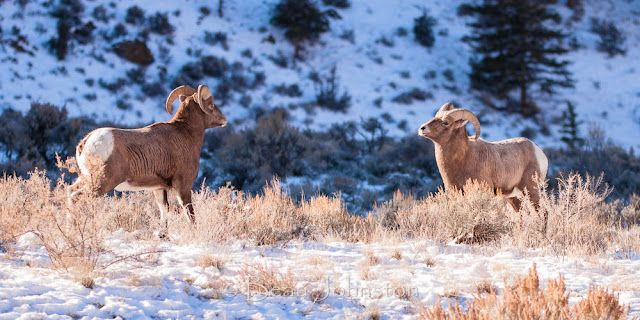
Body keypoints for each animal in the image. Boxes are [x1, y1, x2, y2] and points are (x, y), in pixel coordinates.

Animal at [69, 84, 228, 231]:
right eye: (211, 104)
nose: (224, 120)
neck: (185, 134)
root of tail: (86, 142)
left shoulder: (158, 188)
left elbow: (164, 211)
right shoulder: (183, 185)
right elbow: (189, 213)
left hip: (85, 178)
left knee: (70, 193)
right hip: (102, 182)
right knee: (76, 197)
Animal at [418, 103, 548, 212]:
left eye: (445, 122)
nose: (422, 128)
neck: (465, 158)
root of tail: (538, 151)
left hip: (531, 191)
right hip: (513, 197)